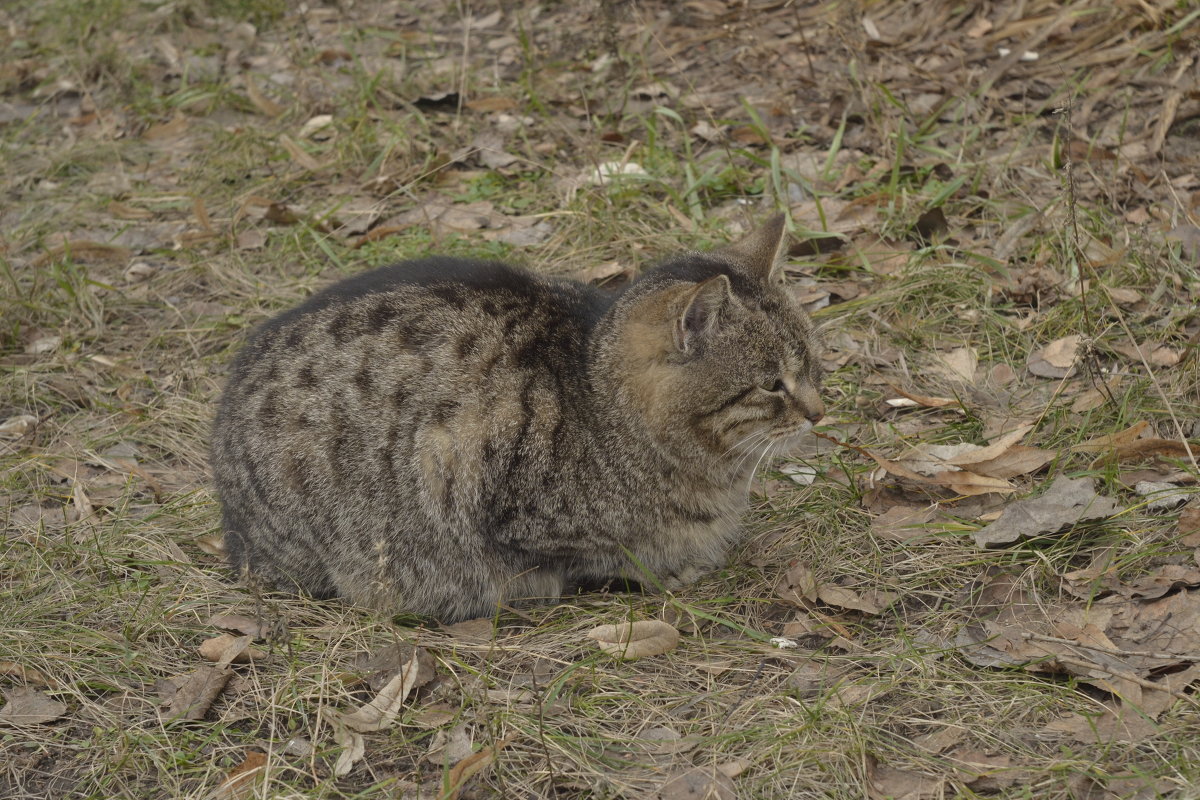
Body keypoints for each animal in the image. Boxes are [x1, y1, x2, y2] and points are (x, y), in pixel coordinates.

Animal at [208, 215, 825, 623]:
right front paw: (667, 569)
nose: (821, 412)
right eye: (772, 383)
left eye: (812, 363)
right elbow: (600, 557)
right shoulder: (481, 482)